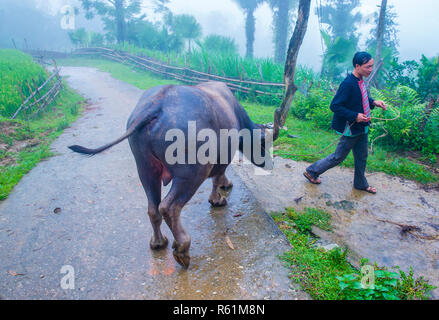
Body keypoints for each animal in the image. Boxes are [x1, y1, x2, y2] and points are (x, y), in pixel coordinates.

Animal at [69, 80, 272, 268]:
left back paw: (159, 242)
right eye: (264, 144)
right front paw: (218, 199)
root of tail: (156, 104)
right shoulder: (223, 156)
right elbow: (217, 176)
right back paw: (182, 248)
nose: (269, 163)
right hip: (193, 171)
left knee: (153, 207)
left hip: (145, 167)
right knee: (169, 206)